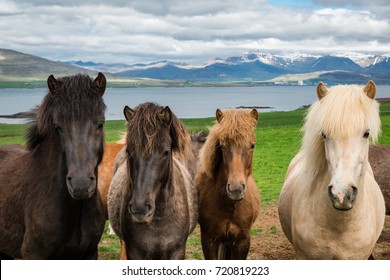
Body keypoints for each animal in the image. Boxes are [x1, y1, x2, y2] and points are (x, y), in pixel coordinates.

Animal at [107, 101, 197, 260]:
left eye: (166, 152)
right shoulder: (135, 252)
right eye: (129, 151)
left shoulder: (177, 251)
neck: (159, 221)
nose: (140, 209)